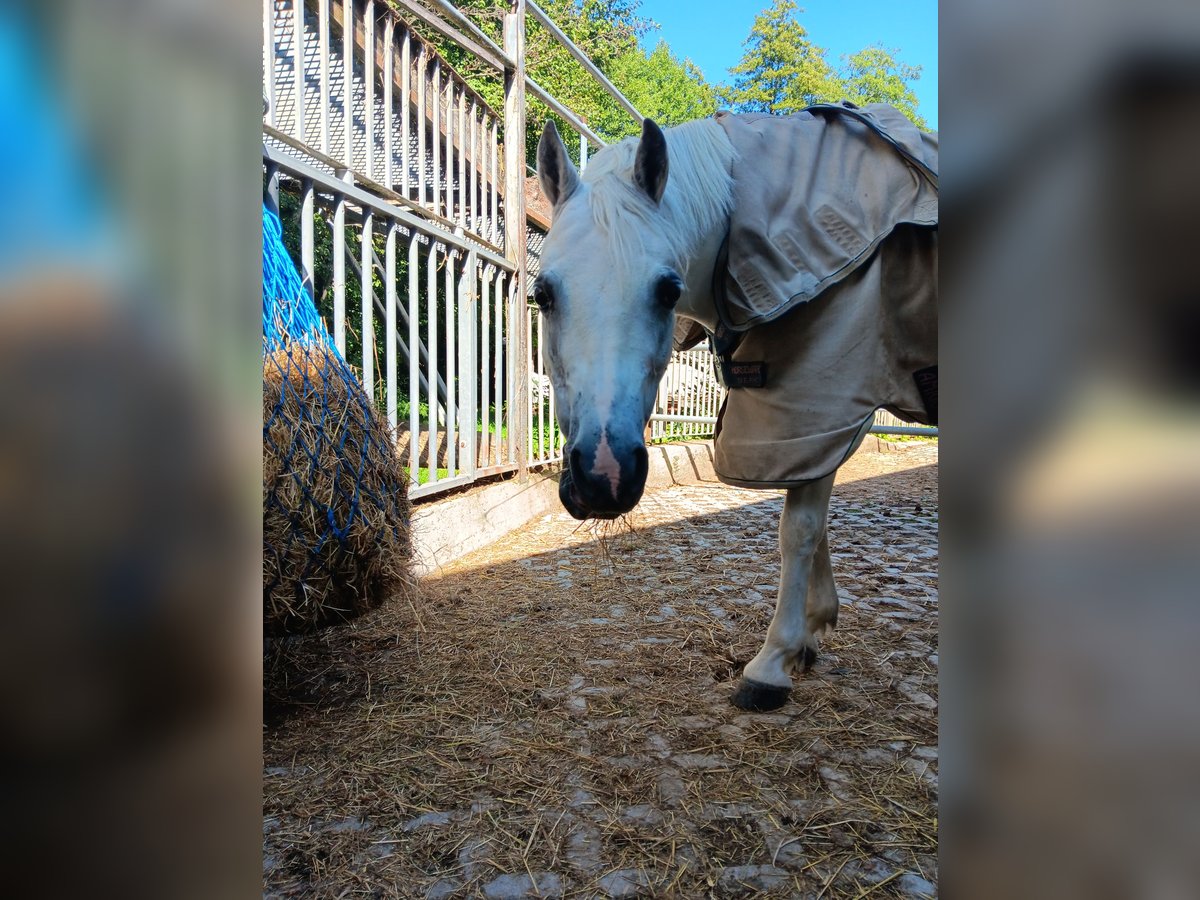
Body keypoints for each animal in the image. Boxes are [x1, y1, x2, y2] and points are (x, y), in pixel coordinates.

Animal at [533, 107, 937, 712]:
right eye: (543, 294)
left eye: (668, 291)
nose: (605, 478)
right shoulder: (817, 416)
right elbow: (814, 519)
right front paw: (813, 630)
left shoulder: (822, 394)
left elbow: (799, 527)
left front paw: (773, 662)